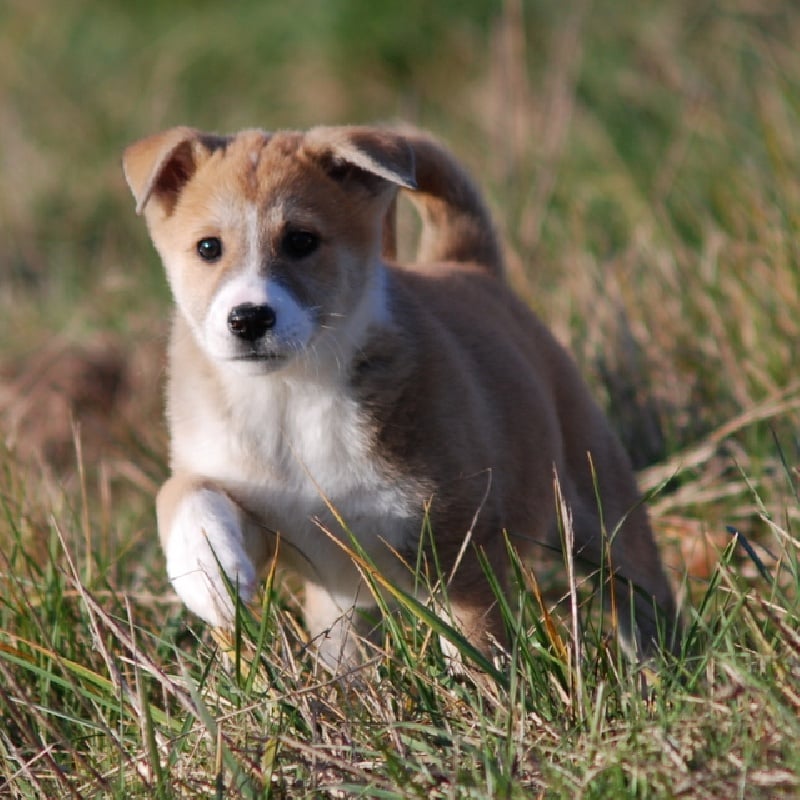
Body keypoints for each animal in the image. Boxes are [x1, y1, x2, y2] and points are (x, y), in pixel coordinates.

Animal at [122, 125, 680, 668]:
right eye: (208, 248)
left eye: (301, 240)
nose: (249, 318)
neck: (292, 396)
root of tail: (469, 268)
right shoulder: (255, 506)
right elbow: (182, 493)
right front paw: (208, 572)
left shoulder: (458, 546)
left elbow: (477, 646)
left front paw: (484, 696)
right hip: (341, 606)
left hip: (595, 506)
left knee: (639, 590)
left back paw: (657, 670)